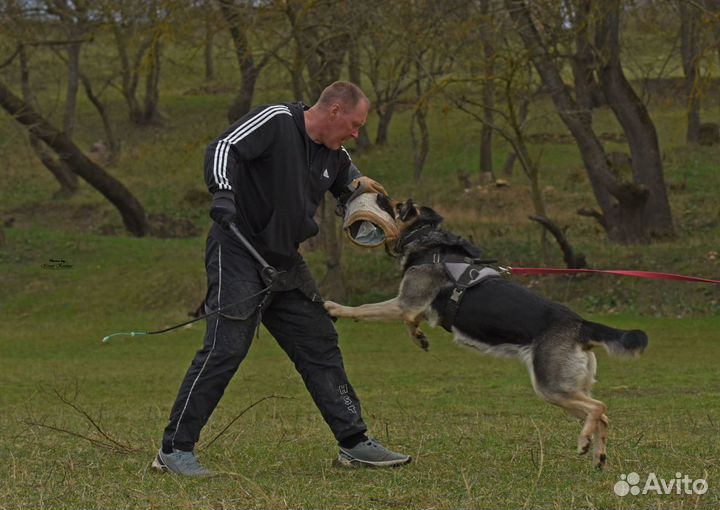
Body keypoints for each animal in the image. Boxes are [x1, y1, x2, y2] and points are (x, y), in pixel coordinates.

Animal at [326, 197, 648, 468]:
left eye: (390, 204)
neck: (427, 241)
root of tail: (581, 324)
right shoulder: (412, 307)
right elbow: (410, 322)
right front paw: (419, 337)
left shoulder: (405, 302)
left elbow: (364, 308)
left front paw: (335, 307)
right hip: (567, 390)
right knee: (604, 417)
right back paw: (598, 456)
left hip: (552, 387)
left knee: (599, 407)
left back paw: (584, 442)